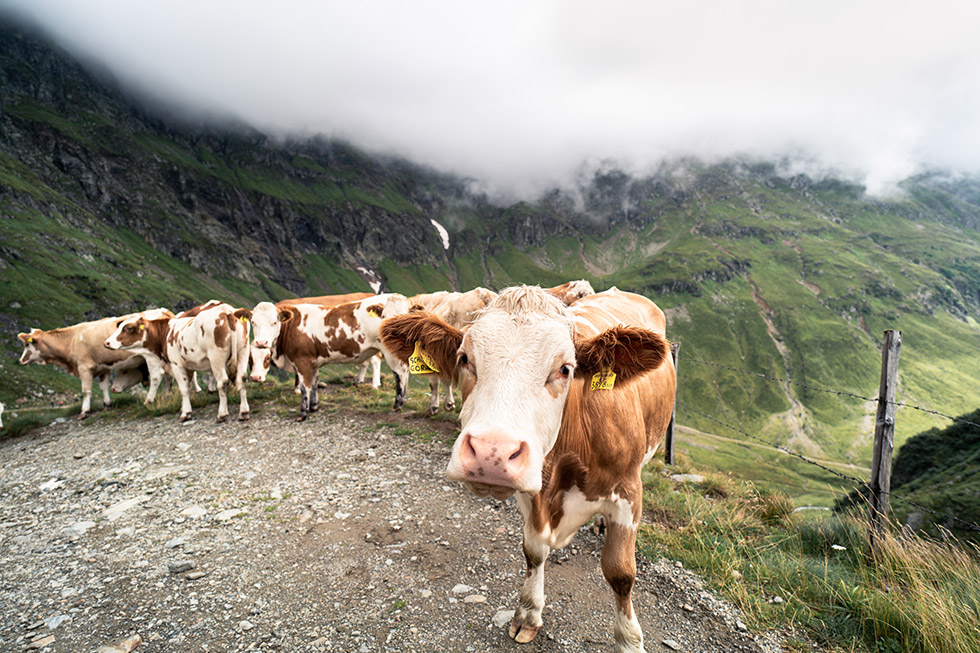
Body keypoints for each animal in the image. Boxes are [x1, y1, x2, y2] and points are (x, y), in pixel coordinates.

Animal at [17, 310, 173, 419]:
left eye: (26, 344)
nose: (21, 360)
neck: (71, 340)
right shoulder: (103, 367)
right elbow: (104, 387)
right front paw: (107, 404)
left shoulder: (84, 367)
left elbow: (86, 391)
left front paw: (84, 411)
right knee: (167, 377)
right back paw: (166, 396)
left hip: (151, 356)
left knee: (157, 376)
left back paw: (149, 400)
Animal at [104, 300, 251, 423]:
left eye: (128, 328)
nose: (107, 342)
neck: (165, 333)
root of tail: (226, 310)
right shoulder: (189, 365)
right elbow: (189, 385)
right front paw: (184, 408)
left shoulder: (176, 364)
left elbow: (184, 389)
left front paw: (185, 414)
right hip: (243, 351)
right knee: (242, 378)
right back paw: (243, 412)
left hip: (216, 358)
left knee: (223, 382)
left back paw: (222, 414)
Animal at [243, 293, 411, 420]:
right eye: (253, 322)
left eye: (274, 322)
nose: (261, 342)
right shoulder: (313, 362)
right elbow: (314, 383)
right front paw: (314, 406)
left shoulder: (302, 360)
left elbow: (305, 387)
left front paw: (303, 413)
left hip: (390, 351)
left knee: (400, 373)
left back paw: (397, 403)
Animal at [380, 286, 675, 652]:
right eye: (464, 358)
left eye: (565, 369)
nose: (491, 452)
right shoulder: (532, 492)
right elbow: (533, 551)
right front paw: (528, 614)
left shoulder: (628, 492)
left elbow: (620, 572)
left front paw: (629, 641)